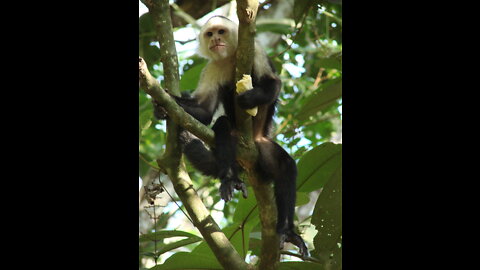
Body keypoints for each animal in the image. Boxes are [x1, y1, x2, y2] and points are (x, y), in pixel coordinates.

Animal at [152, 15, 310, 258]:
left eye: (221, 32)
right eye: (210, 34)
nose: (215, 40)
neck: (230, 58)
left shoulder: (256, 50)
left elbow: (272, 82)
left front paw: (249, 98)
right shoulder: (212, 68)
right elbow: (205, 112)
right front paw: (162, 107)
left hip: (262, 146)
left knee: (286, 168)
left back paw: (287, 230)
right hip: (236, 143)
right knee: (223, 126)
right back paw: (229, 177)